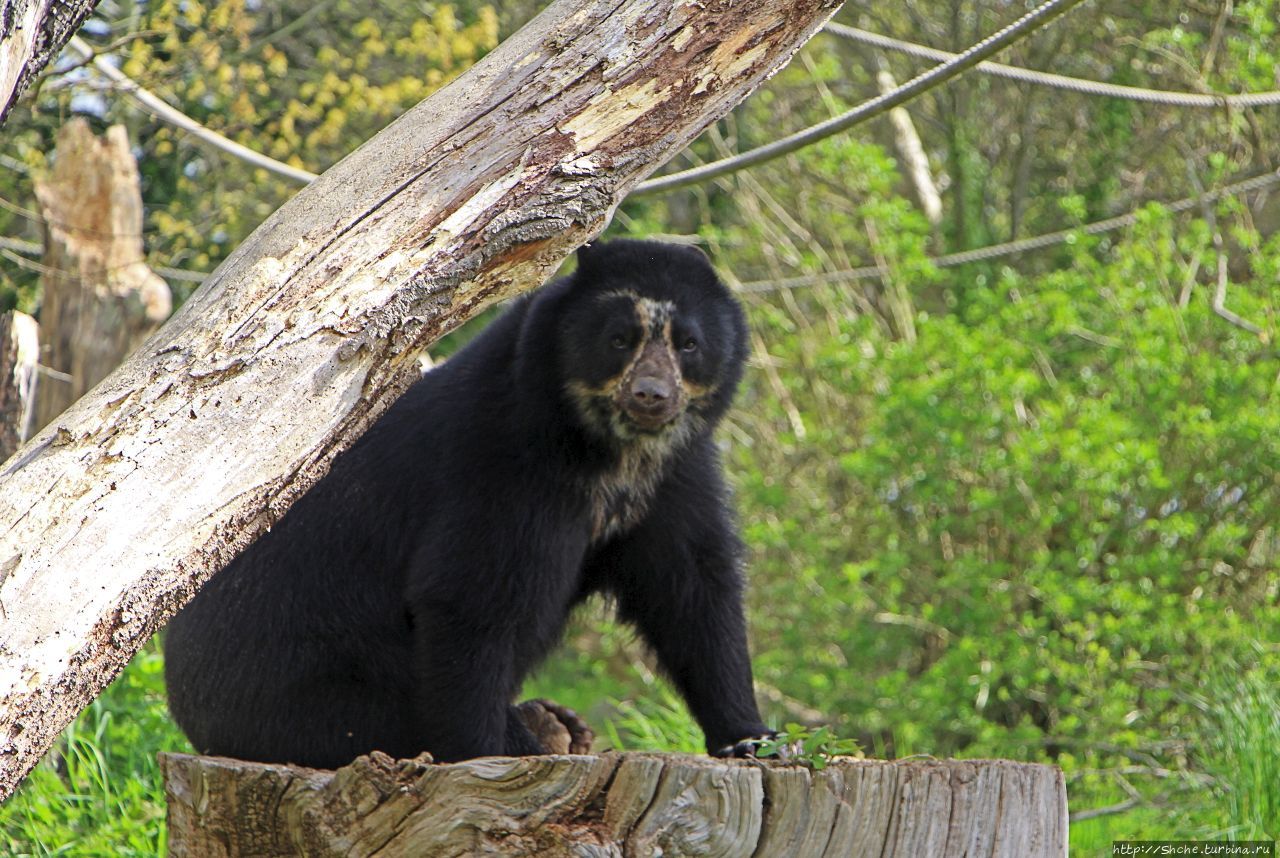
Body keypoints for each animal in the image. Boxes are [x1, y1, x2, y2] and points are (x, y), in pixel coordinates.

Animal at [165, 238, 773, 768]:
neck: (610, 452)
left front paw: (751, 739)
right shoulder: (502, 466)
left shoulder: (675, 475)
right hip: (309, 685)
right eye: (619, 339)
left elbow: (692, 586)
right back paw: (539, 729)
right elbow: (474, 598)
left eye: (688, 344)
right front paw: (488, 750)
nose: (651, 395)